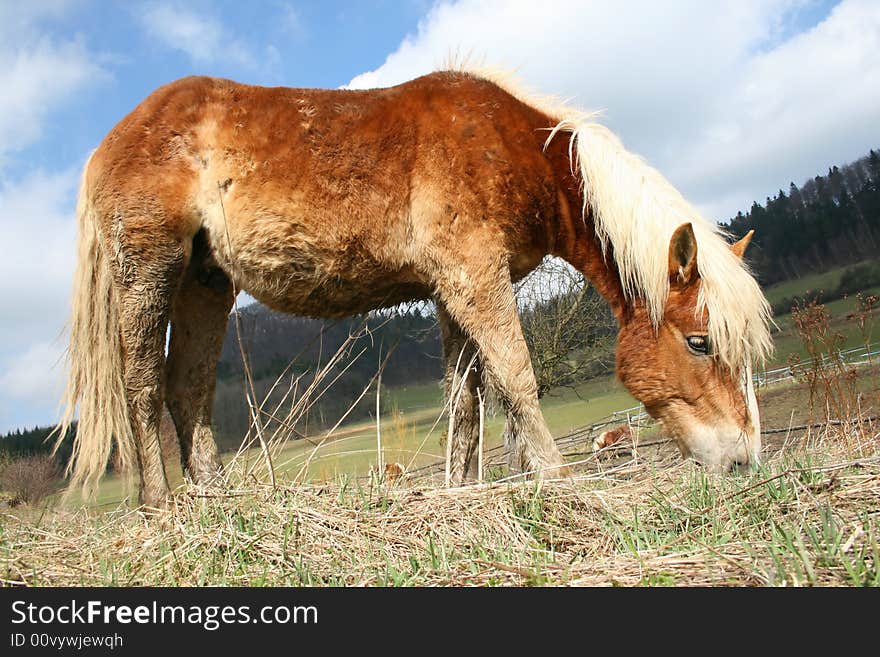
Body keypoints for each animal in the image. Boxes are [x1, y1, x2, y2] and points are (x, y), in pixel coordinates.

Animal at [56, 68, 768, 508]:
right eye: (700, 343)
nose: (743, 462)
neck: (509, 144)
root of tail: (110, 139)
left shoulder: (453, 291)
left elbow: (465, 400)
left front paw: (463, 491)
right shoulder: (474, 276)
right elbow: (516, 375)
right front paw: (555, 477)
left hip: (205, 283)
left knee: (189, 391)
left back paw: (216, 505)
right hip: (150, 270)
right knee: (142, 386)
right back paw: (160, 507)